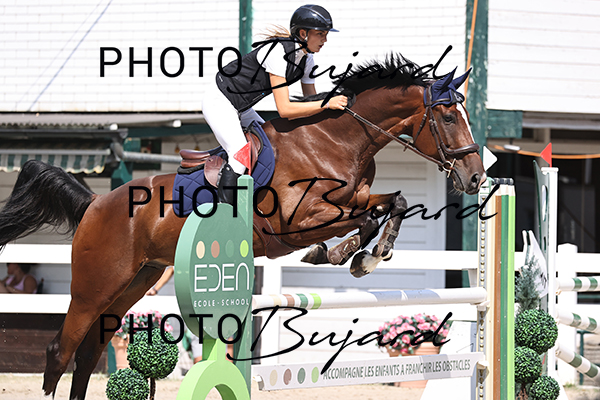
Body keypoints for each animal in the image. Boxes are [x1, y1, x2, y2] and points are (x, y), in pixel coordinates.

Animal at [0, 54, 485, 399]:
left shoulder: (356, 197)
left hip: (134, 281)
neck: (337, 141)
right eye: (447, 117)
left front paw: (369, 255)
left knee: (87, 355)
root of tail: (96, 202)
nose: (477, 178)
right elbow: (360, 220)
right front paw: (343, 254)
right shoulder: (296, 223)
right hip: (94, 286)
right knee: (60, 351)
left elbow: (392, 203)